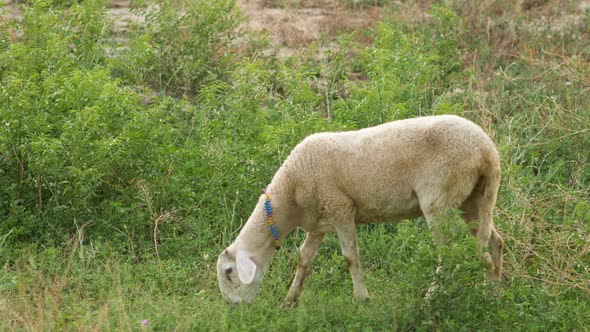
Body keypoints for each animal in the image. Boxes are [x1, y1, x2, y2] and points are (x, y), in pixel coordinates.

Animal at [217, 115, 504, 304]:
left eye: (229, 273)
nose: (233, 307)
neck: (288, 197)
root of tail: (487, 151)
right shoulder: (319, 222)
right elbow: (304, 257)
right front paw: (290, 301)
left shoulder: (341, 208)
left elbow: (350, 256)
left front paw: (362, 299)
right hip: (473, 198)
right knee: (494, 241)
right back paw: (491, 294)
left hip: (439, 197)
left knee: (448, 251)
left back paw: (432, 296)